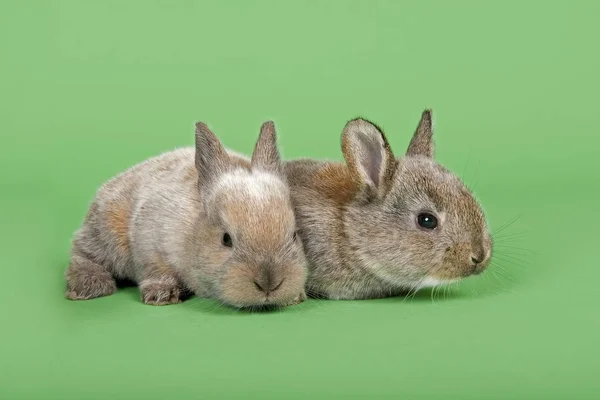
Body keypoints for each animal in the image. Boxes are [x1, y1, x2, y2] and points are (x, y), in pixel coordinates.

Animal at [65, 120, 308, 308]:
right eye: (226, 240)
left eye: (294, 236)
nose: (269, 284)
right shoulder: (150, 243)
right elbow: (155, 270)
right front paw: (161, 295)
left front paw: (296, 297)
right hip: (107, 230)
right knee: (82, 254)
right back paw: (88, 286)